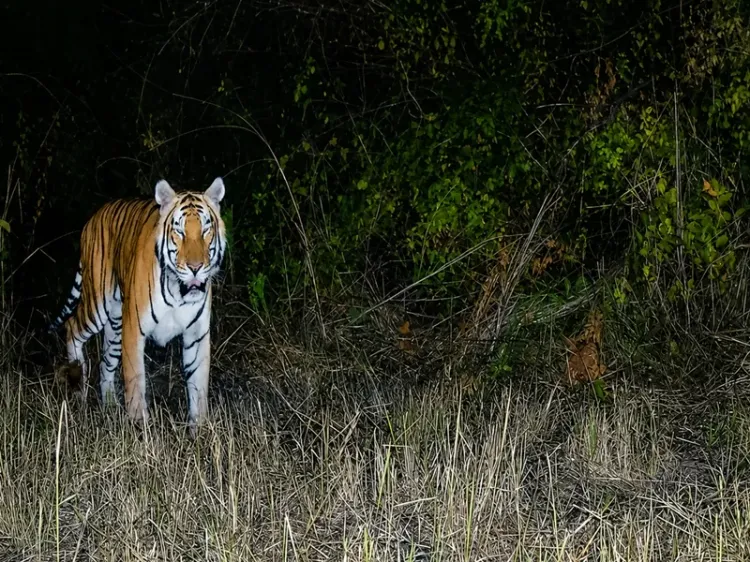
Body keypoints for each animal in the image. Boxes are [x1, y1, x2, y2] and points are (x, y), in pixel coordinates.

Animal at [48, 177, 227, 432]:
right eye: (179, 231)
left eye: (205, 230)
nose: (195, 268)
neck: (179, 292)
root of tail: (94, 217)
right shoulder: (134, 330)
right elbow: (135, 382)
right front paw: (140, 428)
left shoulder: (197, 335)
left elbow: (198, 384)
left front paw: (200, 430)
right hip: (97, 305)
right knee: (72, 326)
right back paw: (78, 384)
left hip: (115, 325)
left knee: (105, 363)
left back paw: (110, 406)